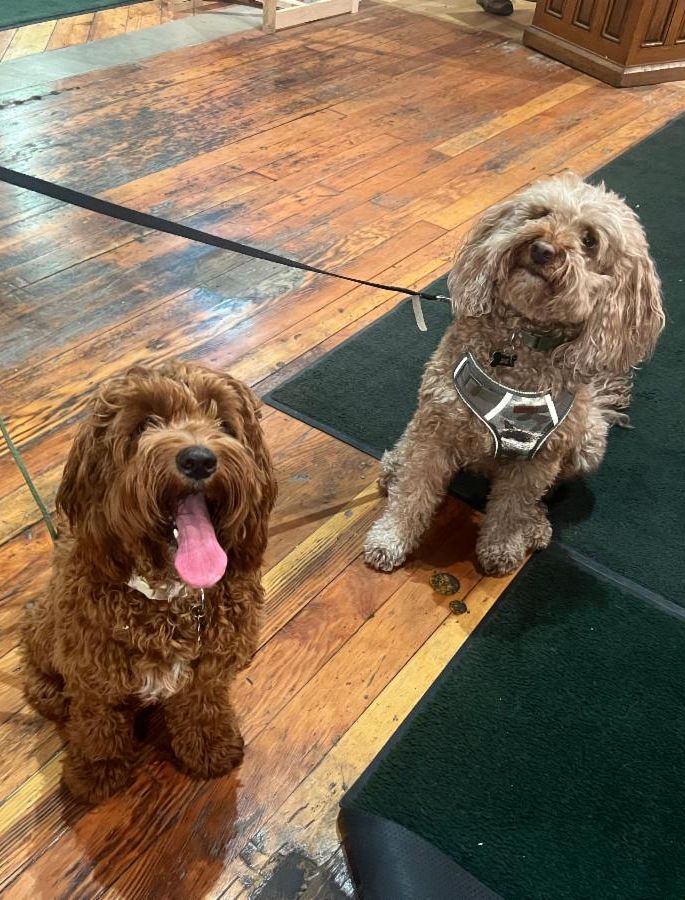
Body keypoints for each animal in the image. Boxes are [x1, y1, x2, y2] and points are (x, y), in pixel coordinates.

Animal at [22, 362, 277, 803]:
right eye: (144, 424)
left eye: (224, 424)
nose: (198, 459)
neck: (170, 597)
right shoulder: (93, 674)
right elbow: (97, 723)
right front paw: (97, 769)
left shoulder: (208, 669)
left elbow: (203, 706)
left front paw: (210, 747)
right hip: (46, 629)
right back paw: (50, 691)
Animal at [364, 173, 664, 577]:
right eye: (540, 213)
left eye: (589, 240)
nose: (543, 249)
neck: (518, 344)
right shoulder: (437, 430)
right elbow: (413, 492)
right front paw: (390, 538)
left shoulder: (538, 459)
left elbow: (512, 508)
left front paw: (502, 547)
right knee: (406, 452)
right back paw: (394, 466)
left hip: (588, 444)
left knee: (540, 496)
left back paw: (534, 525)